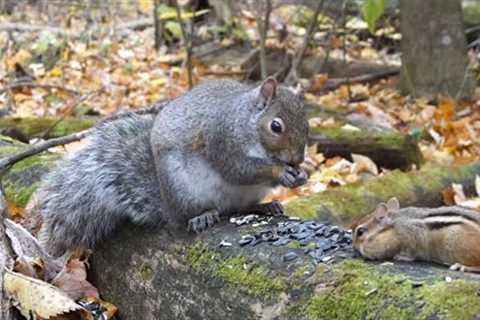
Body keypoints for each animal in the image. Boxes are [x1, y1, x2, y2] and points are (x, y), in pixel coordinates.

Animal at [36, 77, 308, 255]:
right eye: (276, 126)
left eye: (307, 124)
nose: (297, 159)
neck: (246, 122)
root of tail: (168, 208)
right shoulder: (222, 140)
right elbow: (239, 170)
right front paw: (281, 172)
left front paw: (300, 175)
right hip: (185, 190)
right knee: (197, 215)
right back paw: (203, 216)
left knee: (240, 208)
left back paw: (266, 206)